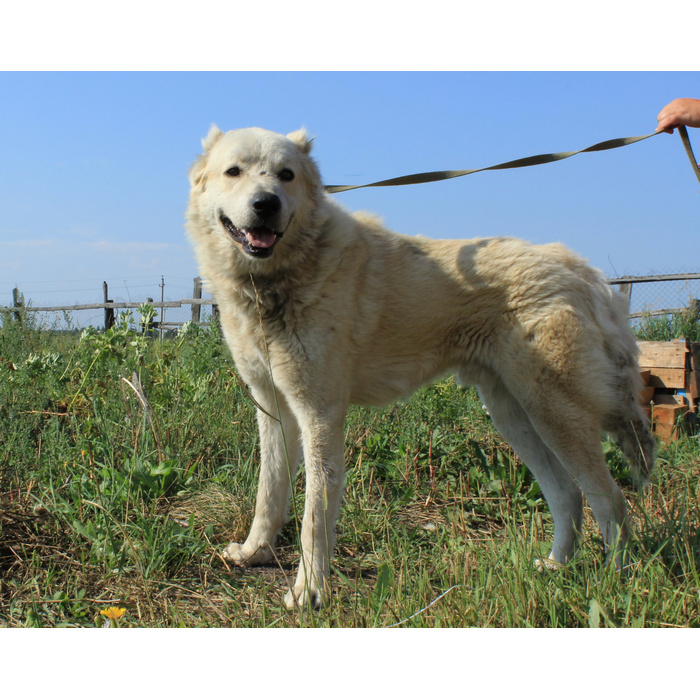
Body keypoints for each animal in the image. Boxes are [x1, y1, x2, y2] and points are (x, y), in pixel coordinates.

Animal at [187, 126, 656, 608]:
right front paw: (255, 552)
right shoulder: (273, 408)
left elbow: (314, 516)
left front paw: (310, 590)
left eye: (286, 175)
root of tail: (580, 269)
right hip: (515, 415)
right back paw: (556, 566)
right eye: (234, 171)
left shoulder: (320, 415)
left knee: (611, 500)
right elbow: (270, 488)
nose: (266, 203)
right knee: (567, 495)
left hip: (555, 413)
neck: (280, 278)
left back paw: (613, 583)